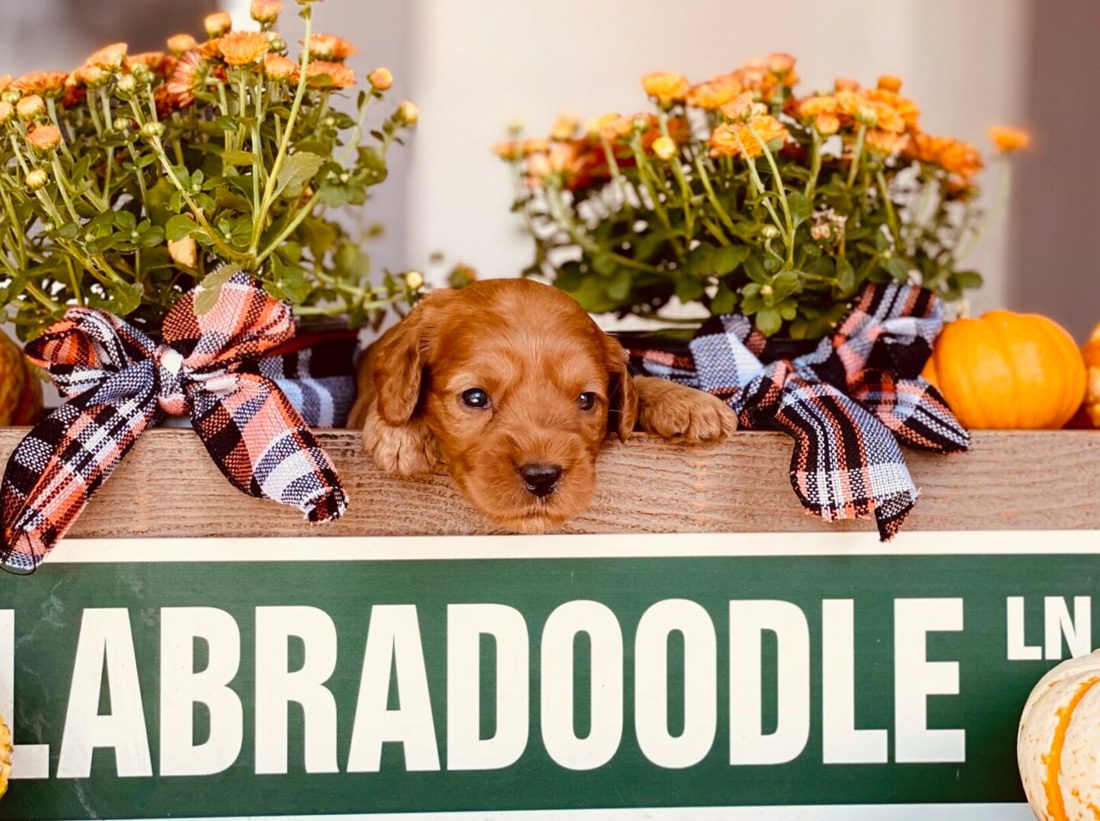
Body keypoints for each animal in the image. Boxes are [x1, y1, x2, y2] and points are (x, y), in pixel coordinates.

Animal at [347, 276, 734, 530]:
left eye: (586, 399)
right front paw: (402, 433)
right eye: (475, 397)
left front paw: (688, 401)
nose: (542, 477)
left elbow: (637, 382)